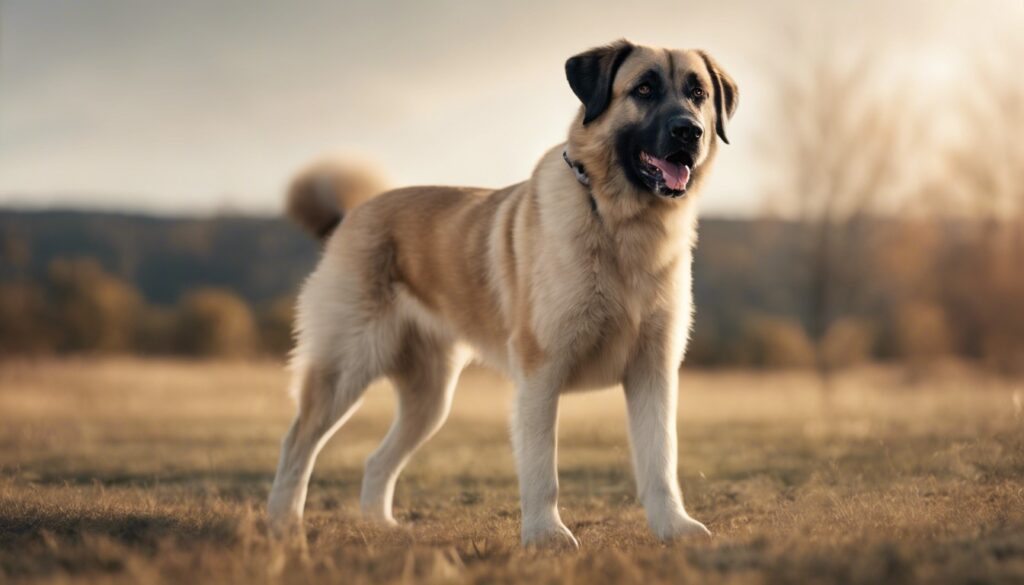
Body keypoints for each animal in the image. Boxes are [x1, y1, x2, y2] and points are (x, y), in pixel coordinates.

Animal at [268, 41, 741, 549]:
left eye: (698, 93)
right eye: (645, 89)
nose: (689, 131)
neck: (619, 225)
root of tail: (350, 216)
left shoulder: (653, 371)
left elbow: (661, 461)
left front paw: (675, 528)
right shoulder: (541, 373)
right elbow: (542, 469)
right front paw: (545, 536)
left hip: (429, 398)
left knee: (376, 461)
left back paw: (380, 527)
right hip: (345, 369)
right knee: (296, 444)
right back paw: (283, 526)